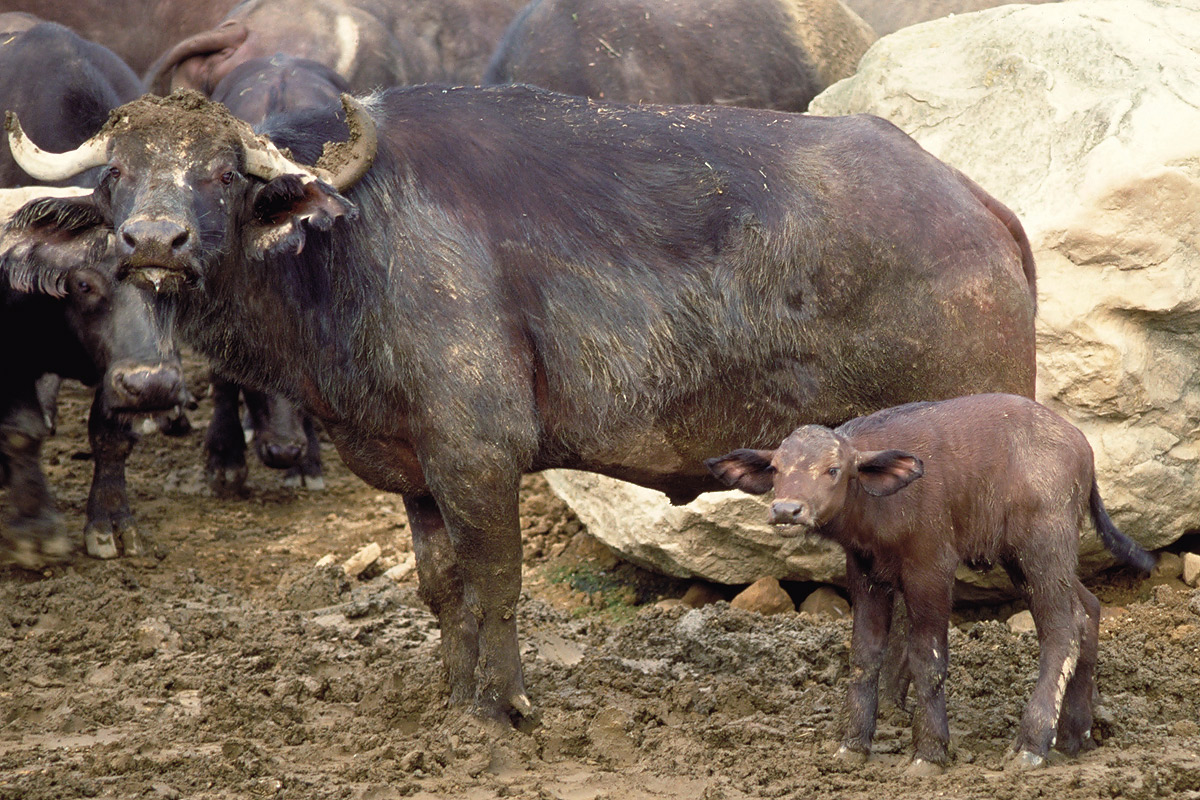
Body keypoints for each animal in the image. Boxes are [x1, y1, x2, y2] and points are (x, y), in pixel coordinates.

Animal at [0, 87, 1036, 724]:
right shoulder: (417, 476)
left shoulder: (479, 458)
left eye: (219, 173)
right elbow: (441, 588)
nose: (154, 240)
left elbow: (497, 583)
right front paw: (458, 700)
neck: (351, 251)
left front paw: (507, 705)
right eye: (115, 174)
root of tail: (979, 207)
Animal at [705, 393, 1156, 777]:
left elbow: (927, 657)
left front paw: (929, 752)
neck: (881, 504)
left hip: (1043, 549)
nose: (786, 510)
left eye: (833, 470)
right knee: (1088, 610)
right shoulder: (866, 573)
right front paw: (852, 745)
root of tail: (1082, 448)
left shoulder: (931, 569)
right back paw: (1074, 736)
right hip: (1027, 560)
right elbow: (865, 654)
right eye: (776, 469)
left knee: (1062, 630)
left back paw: (1032, 745)